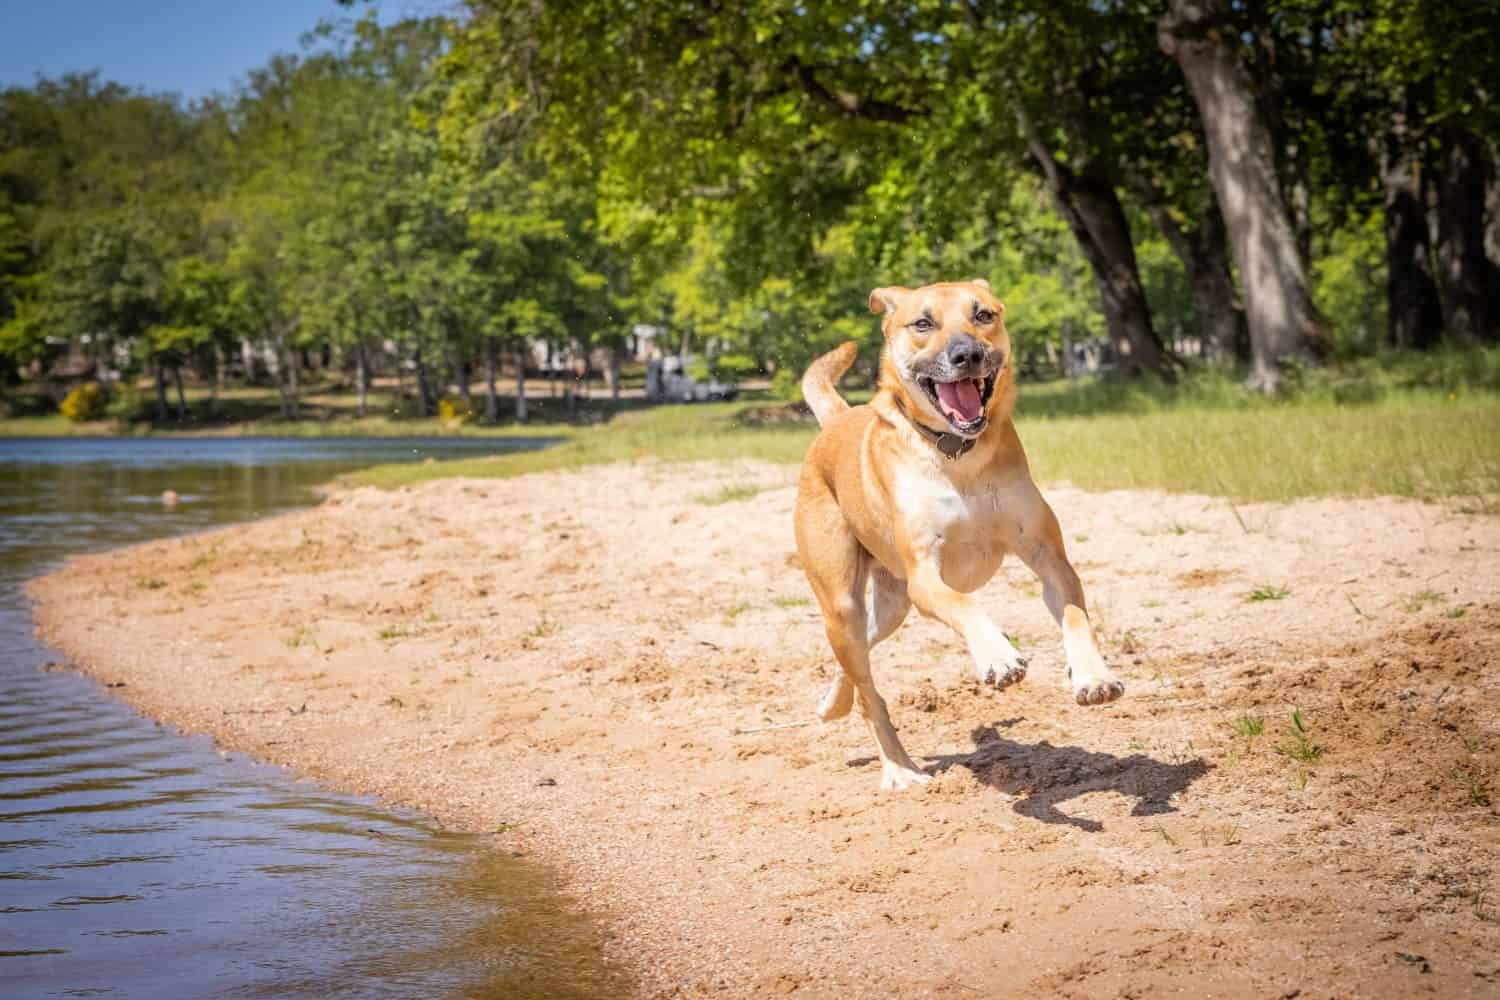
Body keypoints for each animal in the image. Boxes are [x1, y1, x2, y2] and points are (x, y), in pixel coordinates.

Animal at [798, 275, 1128, 791]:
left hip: (891, 606)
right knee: (870, 693)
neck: (958, 456)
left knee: (860, 653)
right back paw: (898, 767)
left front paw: (1093, 676)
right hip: (842, 601)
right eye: (922, 323)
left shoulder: (1048, 555)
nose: (967, 354)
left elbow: (1074, 615)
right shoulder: (925, 576)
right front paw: (998, 656)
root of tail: (837, 421)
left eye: (983, 315)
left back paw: (834, 700)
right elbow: (965, 603)